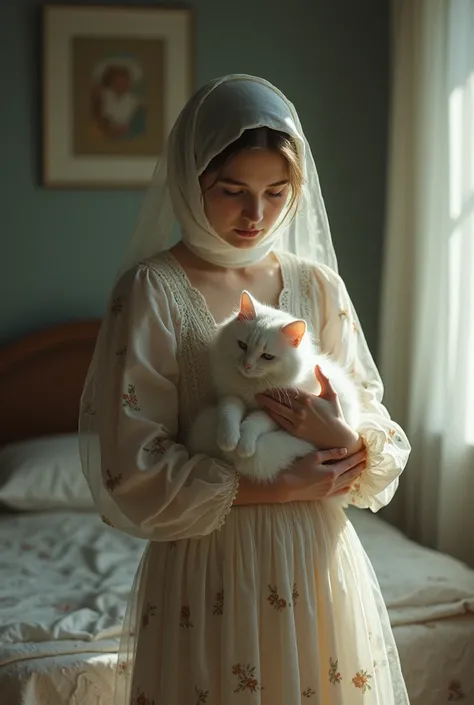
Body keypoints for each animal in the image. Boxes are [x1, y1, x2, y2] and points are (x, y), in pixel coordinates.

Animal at [187, 292, 362, 484]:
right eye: (242, 345)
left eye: (267, 356)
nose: (247, 365)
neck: (253, 384)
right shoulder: (230, 396)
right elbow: (229, 414)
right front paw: (228, 440)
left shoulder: (275, 413)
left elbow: (254, 422)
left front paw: (244, 447)